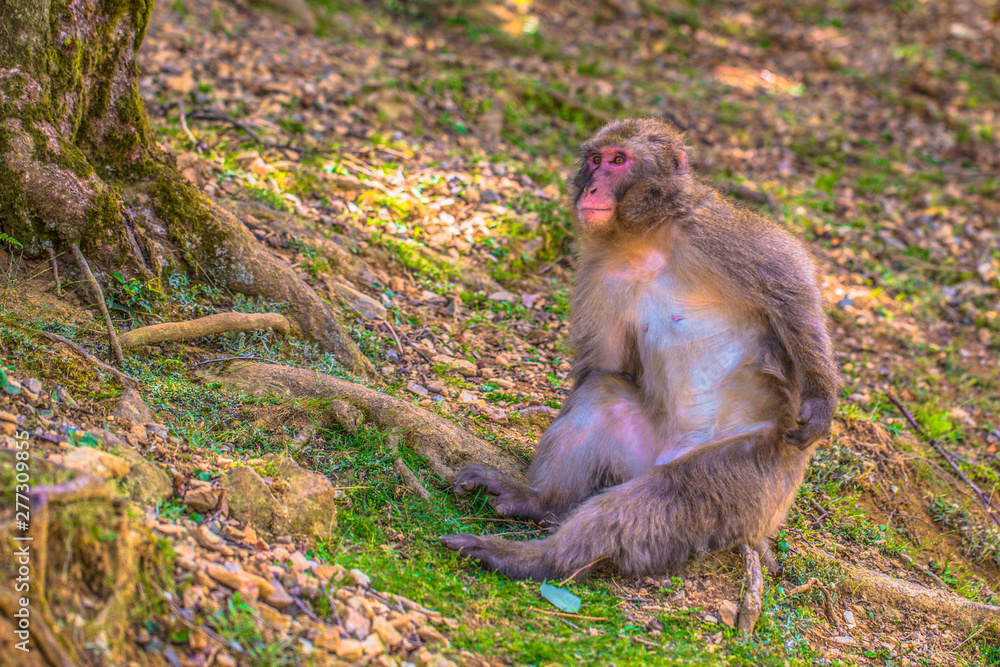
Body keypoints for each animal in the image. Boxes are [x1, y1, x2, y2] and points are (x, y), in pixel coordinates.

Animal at [441, 118, 840, 581]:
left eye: (619, 160)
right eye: (596, 160)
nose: (592, 187)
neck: (647, 238)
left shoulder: (717, 230)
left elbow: (793, 289)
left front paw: (820, 398)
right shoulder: (600, 271)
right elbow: (606, 367)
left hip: (754, 481)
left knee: (675, 491)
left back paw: (536, 559)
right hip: (637, 454)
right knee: (601, 394)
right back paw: (539, 501)